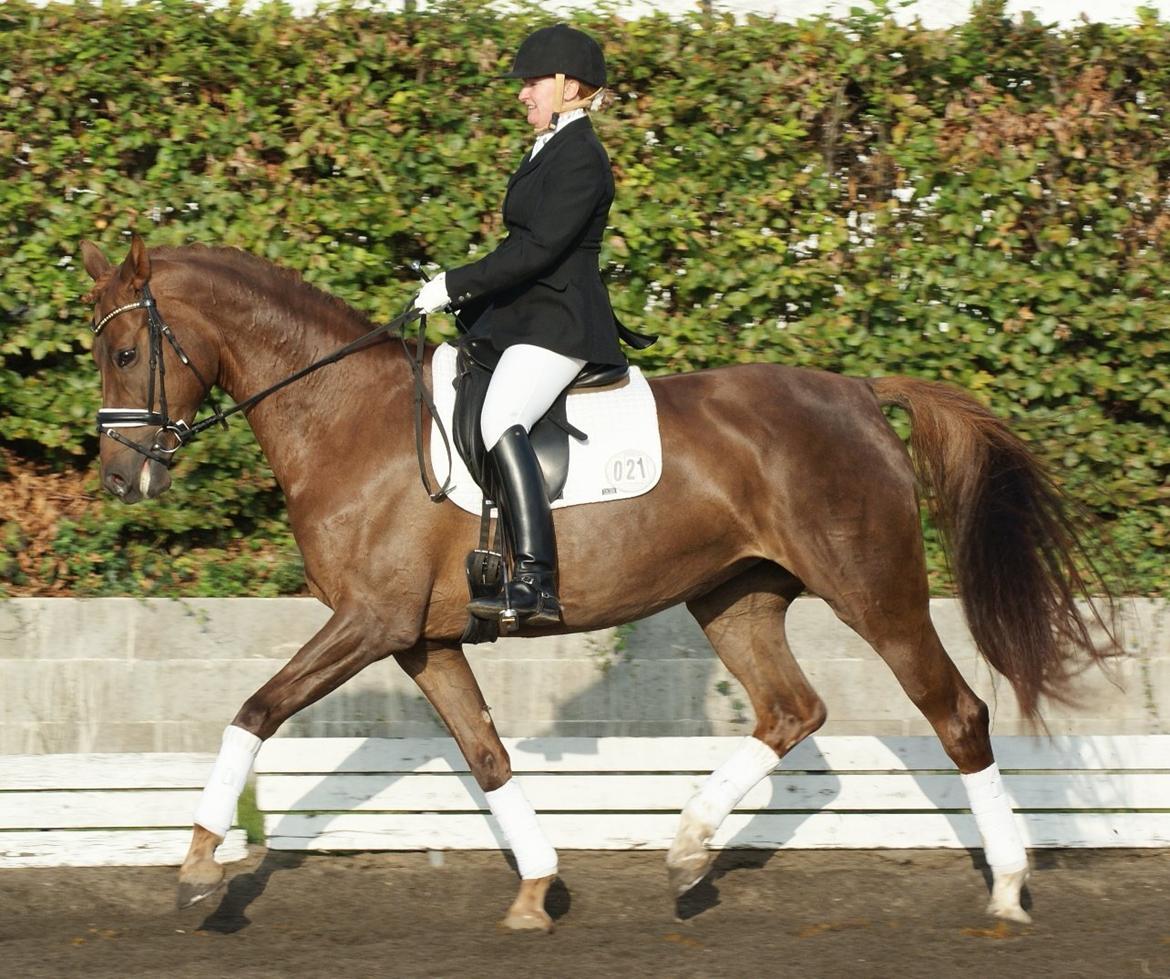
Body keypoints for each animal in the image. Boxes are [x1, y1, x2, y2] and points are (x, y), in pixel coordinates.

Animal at [80, 238, 1113, 931]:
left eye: (126, 353)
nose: (123, 478)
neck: (345, 416)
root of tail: (858, 392)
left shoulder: (368, 620)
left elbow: (253, 710)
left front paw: (199, 868)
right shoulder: (421, 636)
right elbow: (487, 755)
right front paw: (538, 887)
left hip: (874, 590)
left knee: (956, 712)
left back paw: (1008, 887)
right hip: (734, 597)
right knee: (792, 709)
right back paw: (689, 848)